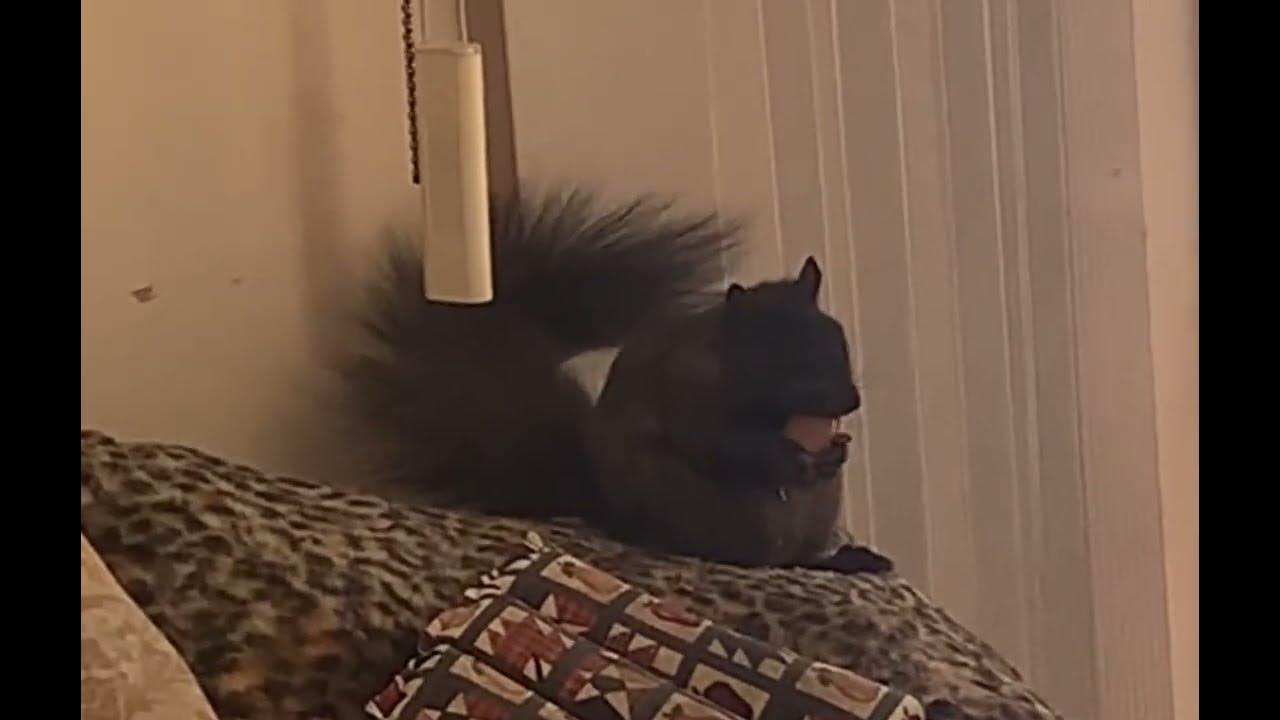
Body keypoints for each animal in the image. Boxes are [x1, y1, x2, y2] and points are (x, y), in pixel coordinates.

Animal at [340, 189, 892, 574]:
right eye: (778, 358)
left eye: (836, 335)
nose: (850, 401)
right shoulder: (688, 397)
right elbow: (725, 445)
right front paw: (792, 460)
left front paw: (836, 449)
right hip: (710, 512)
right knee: (763, 560)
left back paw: (848, 558)